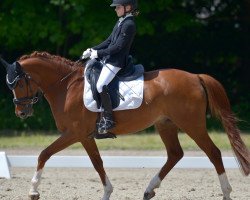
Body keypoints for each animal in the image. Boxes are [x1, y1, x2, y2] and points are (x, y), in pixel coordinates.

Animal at [0, 52, 250, 200]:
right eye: (9, 85)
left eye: (18, 83)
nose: (21, 113)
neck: (67, 87)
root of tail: (196, 77)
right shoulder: (85, 136)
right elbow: (97, 163)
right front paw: (107, 192)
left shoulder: (74, 133)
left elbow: (44, 154)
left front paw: (33, 190)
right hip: (165, 124)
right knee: (175, 154)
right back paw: (149, 189)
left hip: (191, 124)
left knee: (213, 153)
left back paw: (226, 193)